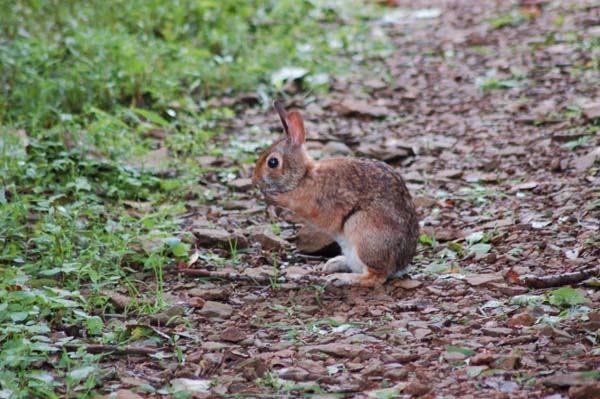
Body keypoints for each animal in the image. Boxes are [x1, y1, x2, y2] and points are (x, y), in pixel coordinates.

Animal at [252, 101, 418, 286]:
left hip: (363, 232)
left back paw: (342, 277)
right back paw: (334, 264)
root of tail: (400, 265)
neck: (304, 176)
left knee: (376, 276)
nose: (254, 181)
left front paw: (274, 196)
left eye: (273, 162)